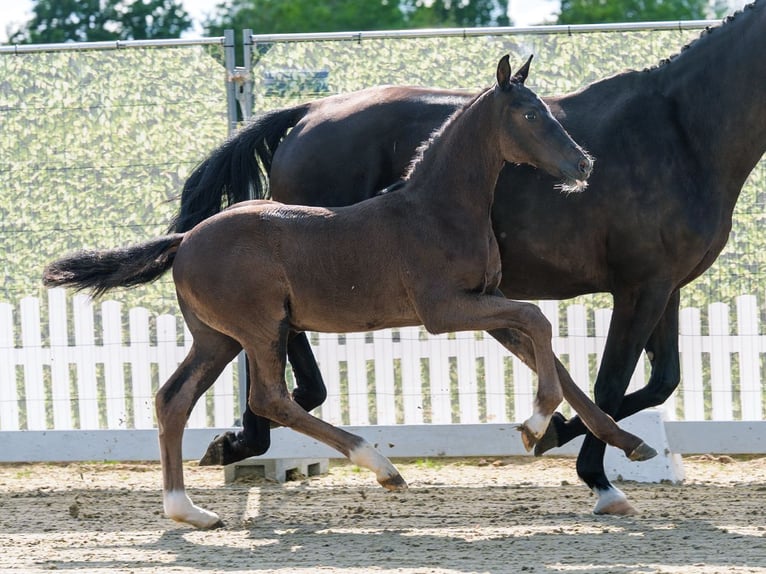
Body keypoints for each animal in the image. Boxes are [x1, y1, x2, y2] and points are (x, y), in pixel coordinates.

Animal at [43, 56, 656, 529]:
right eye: (531, 114)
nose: (583, 163)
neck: (437, 209)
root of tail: (186, 239)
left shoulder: (483, 305)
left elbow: (553, 356)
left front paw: (629, 445)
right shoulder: (444, 309)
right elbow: (539, 320)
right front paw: (533, 427)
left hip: (216, 338)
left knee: (174, 399)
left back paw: (187, 512)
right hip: (260, 328)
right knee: (269, 398)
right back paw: (381, 467)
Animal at [172, 1, 766, 516]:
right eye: (530, 115)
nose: (583, 164)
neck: (682, 132)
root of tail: (307, 112)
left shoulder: (666, 285)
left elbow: (656, 381)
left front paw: (560, 434)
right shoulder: (638, 285)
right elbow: (611, 380)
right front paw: (592, 473)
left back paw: (243, 440)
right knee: (283, 359)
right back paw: (253, 441)